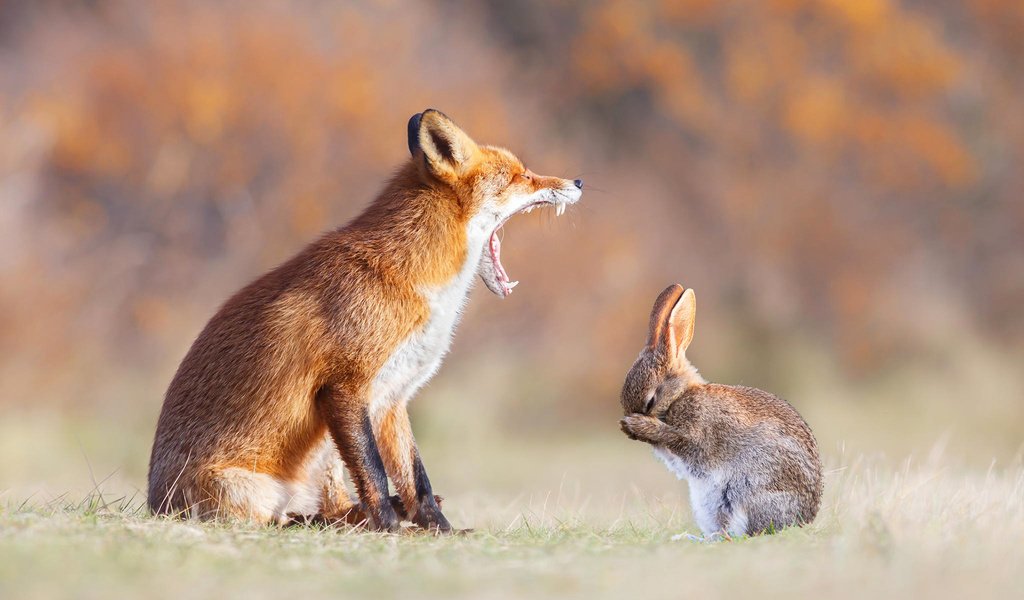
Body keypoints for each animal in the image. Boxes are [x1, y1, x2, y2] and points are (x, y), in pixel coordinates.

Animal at [148, 109, 589, 528]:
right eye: (522, 176)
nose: (580, 181)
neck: (415, 280)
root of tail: (156, 504)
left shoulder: (392, 397)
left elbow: (416, 478)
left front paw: (439, 530)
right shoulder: (345, 387)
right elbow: (374, 473)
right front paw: (391, 529)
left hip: (323, 456)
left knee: (335, 507)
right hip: (253, 487)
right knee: (282, 519)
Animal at [614, 282, 823, 536]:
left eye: (651, 401)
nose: (629, 426)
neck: (680, 395)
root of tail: (804, 519)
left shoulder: (697, 434)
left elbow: (679, 439)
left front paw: (638, 425)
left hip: (744, 491)